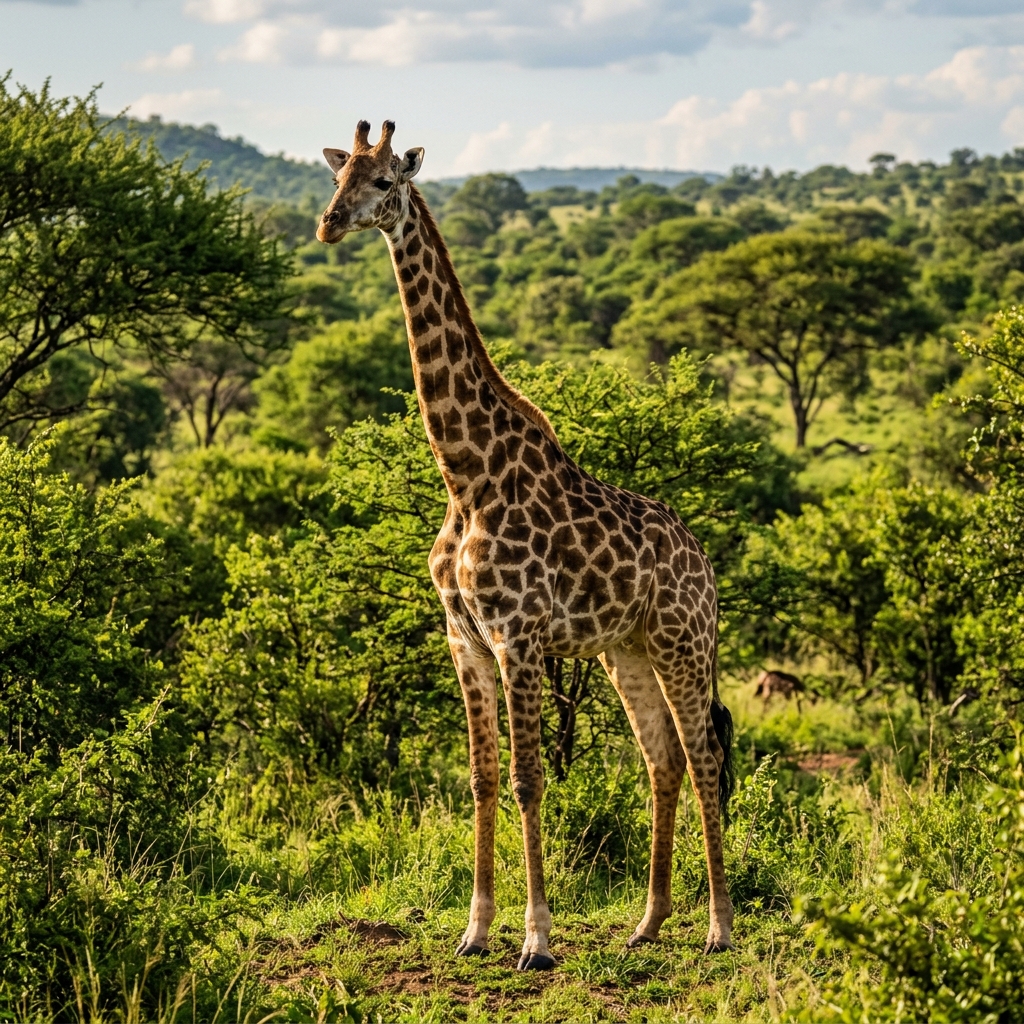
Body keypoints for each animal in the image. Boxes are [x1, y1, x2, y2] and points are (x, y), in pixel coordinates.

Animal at [317, 120, 736, 970]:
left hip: (682, 640)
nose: (328, 224)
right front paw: (475, 931)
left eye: (385, 182)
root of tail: (704, 563)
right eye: (339, 176)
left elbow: (528, 779)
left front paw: (537, 940)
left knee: (705, 752)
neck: (465, 475)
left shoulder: (519, 637)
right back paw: (648, 923)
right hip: (625, 652)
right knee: (664, 757)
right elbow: (481, 779)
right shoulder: (464, 639)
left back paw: (717, 926)